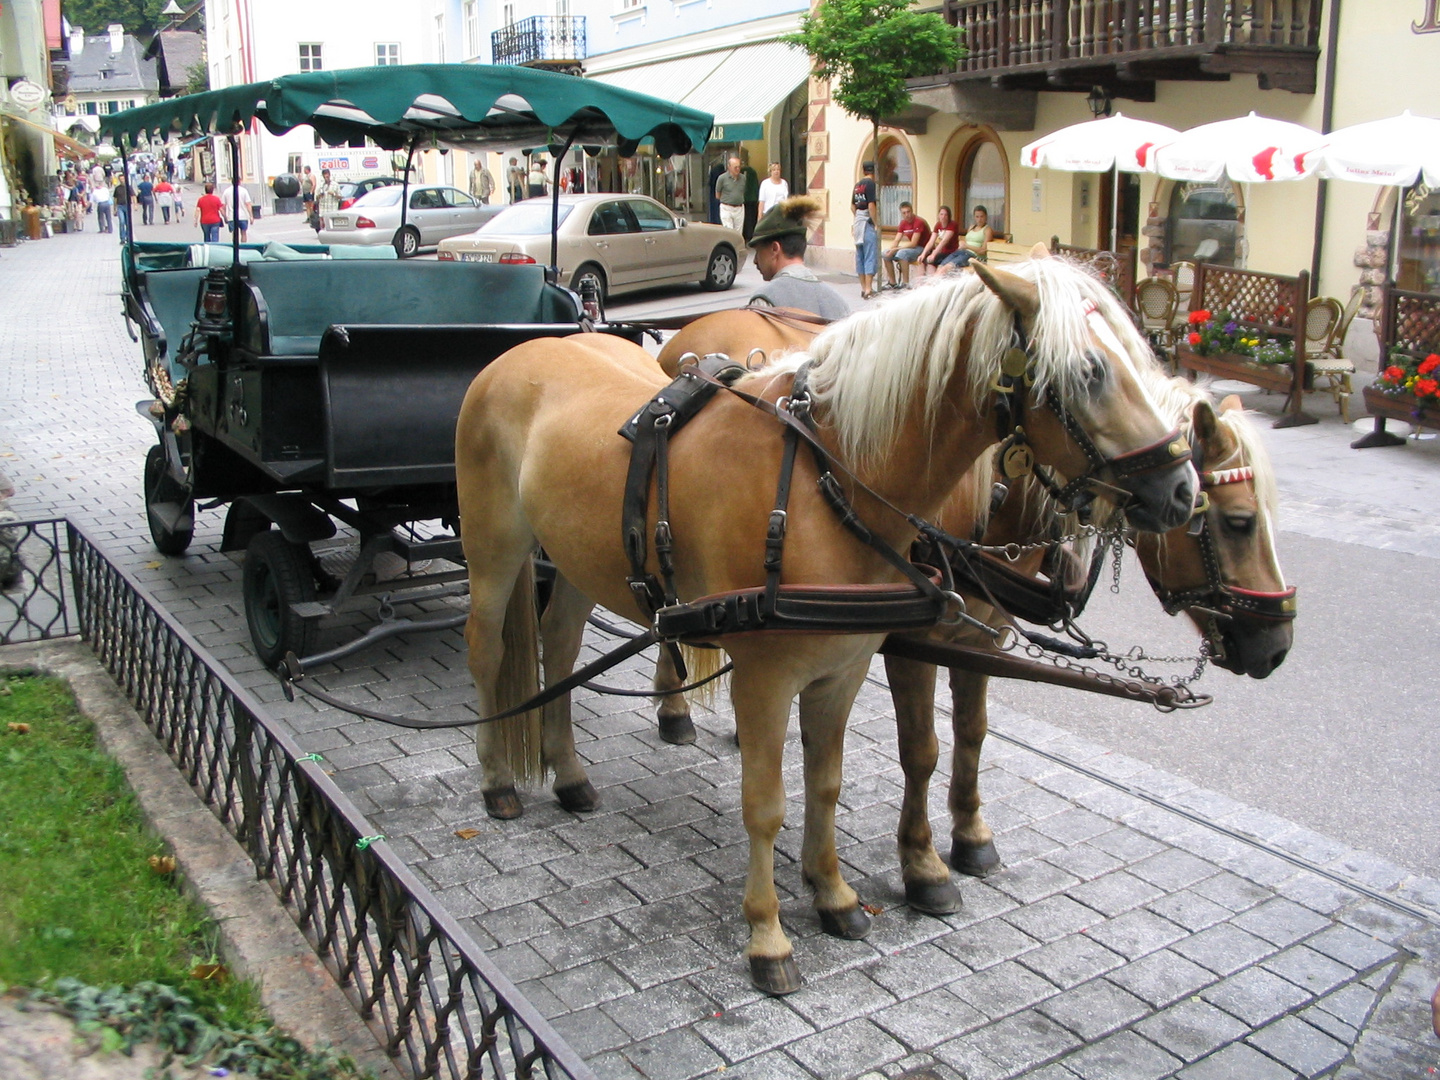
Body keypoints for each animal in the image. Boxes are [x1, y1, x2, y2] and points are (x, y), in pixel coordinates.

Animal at [455, 253, 1198, 996]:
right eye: (1090, 371)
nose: (1181, 490)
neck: (827, 479)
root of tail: (525, 351)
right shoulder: (765, 680)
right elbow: (766, 803)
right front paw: (767, 935)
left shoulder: (842, 670)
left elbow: (827, 783)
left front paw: (834, 894)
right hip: (495, 548)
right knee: (486, 651)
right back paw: (497, 782)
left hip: (579, 560)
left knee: (559, 644)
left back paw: (569, 774)